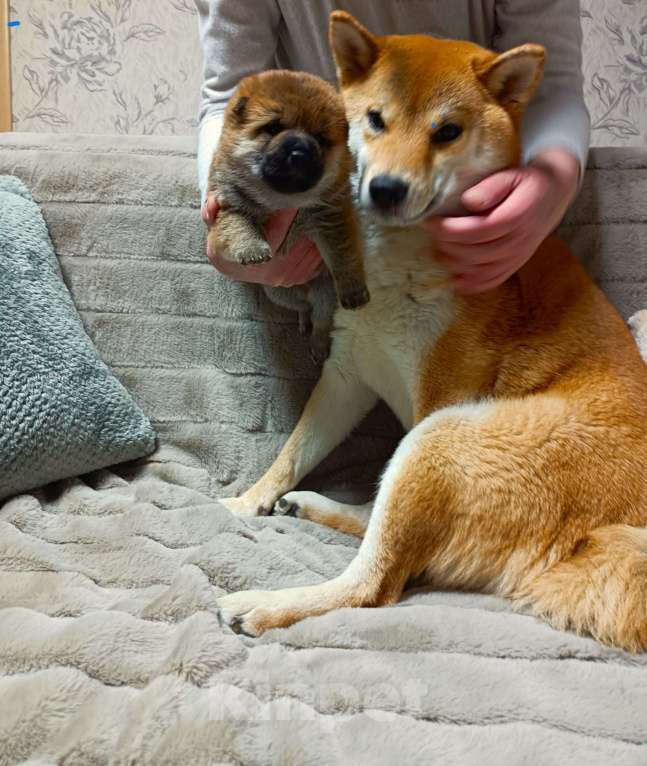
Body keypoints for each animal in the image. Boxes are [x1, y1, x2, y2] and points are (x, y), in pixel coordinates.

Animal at [209, 69, 370, 356]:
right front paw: (252, 249)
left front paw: (355, 290)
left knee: (321, 318)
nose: (299, 152)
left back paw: (319, 345)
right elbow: (238, 225)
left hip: (325, 293)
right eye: (273, 128)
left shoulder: (331, 216)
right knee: (304, 308)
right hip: (278, 293)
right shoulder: (229, 204)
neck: (282, 200)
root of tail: (304, 290)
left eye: (320, 138)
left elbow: (344, 255)